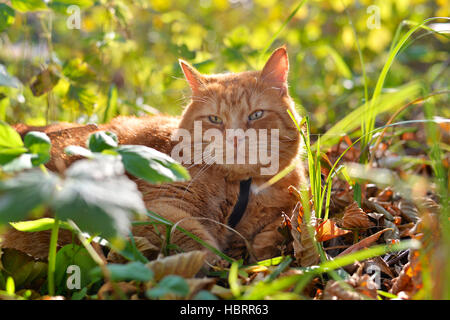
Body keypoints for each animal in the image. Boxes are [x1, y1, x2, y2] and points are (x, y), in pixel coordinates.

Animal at [3, 47, 304, 262]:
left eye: (256, 115)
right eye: (215, 119)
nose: (235, 137)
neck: (241, 186)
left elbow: (281, 227)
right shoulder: (159, 207)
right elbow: (194, 241)